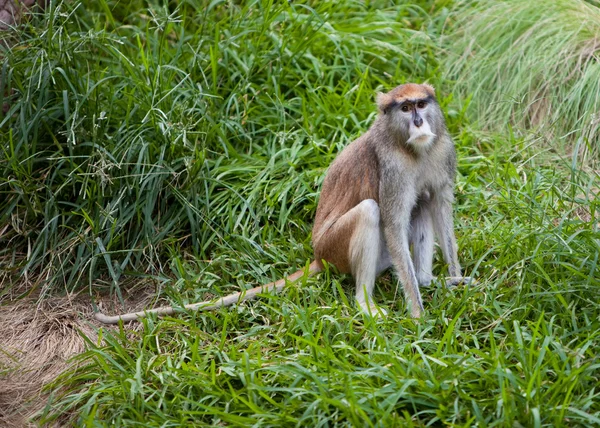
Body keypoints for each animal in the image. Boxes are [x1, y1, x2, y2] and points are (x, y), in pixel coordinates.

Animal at [94, 83, 468, 324]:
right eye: (404, 108)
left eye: (421, 104)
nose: (418, 122)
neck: (409, 147)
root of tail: (318, 256)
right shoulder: (393, 170)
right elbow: (391, 220)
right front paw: (417, 314)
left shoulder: (441, 152)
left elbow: (440, 205)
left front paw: (455, 279)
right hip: (335, 248)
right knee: (369, 211)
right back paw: (366, 304)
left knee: (422, 203)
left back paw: (424, 280)